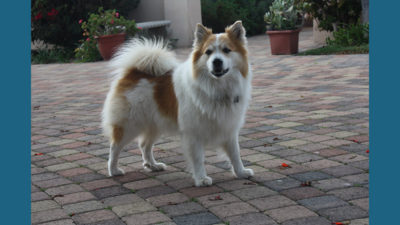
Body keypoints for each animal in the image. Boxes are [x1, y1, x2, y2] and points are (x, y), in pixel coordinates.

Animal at [102, 20, 253, 186]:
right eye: (208, 52)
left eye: (227, 50)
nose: (217, 61)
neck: (216, 88)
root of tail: (134, 72)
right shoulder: (193, 133)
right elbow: (198, 159)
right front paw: (201, 179)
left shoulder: (229, 127)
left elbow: (235, 154)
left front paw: (241, 172)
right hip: (130, 125)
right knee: (114, 147)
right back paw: (113, 170)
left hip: (155, 124)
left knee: (144, 145)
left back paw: (153, 165)